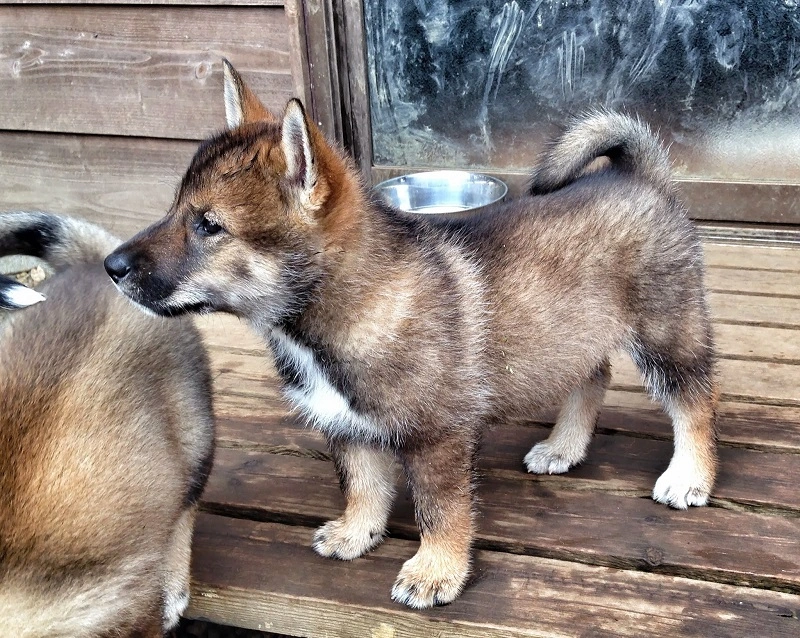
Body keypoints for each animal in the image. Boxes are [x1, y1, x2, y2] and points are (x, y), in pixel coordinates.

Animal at [101, 62, 720, 612]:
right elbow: (362, 485)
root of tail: (637, 175)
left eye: (209, 225)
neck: (341, 308)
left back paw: (690, 476)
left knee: (694, 401)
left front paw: (435, 570)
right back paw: (563, 447)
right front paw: (357, 533)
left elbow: (439, 510)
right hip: (571, 331)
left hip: (666, 331)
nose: (112, 266)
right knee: (592, 375)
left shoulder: (437, 436)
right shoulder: (344, 424)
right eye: (174, 209)